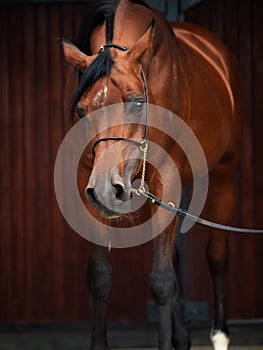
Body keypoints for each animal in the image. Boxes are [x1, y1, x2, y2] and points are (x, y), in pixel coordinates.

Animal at [59, 0, 243, 350]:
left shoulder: (167, 179)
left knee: (217, 254)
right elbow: (99, 276)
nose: (106, 189)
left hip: (223, 172)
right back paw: (182, 337)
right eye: (81, 111)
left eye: (136, 103)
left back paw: (220, 335)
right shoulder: (87, 184)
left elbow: (161, 281)